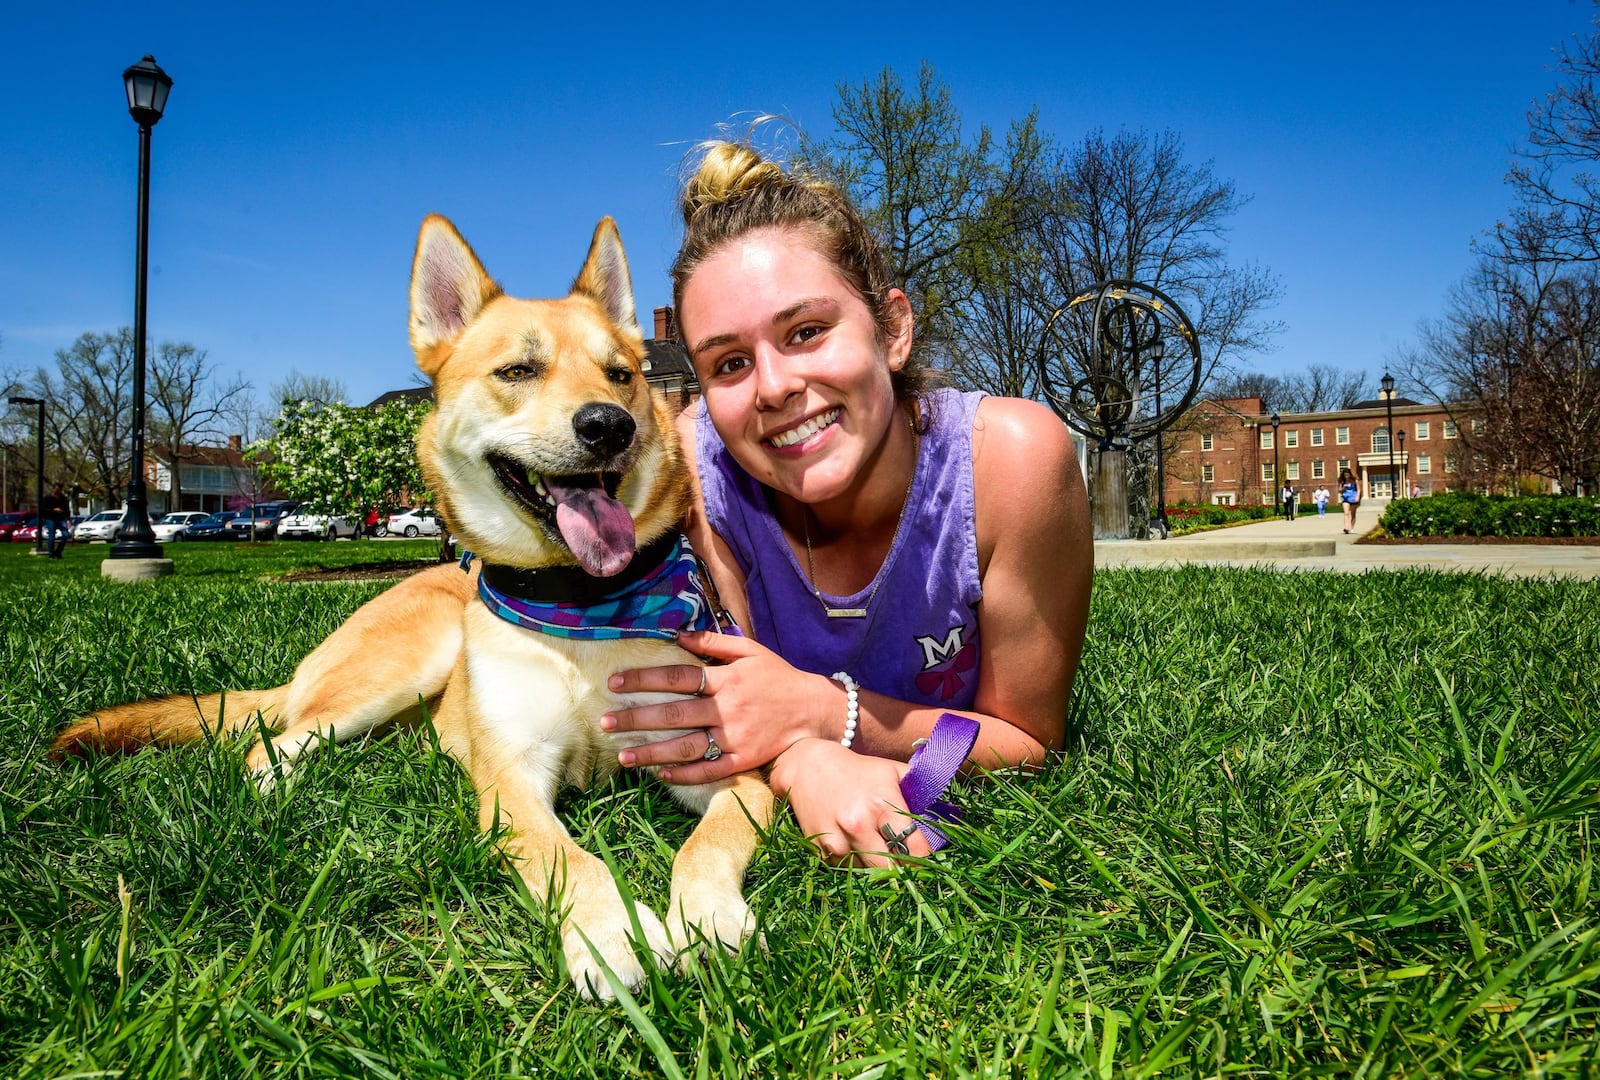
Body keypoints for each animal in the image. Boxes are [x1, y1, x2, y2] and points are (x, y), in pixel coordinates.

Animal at [60, 212, 780, 1004]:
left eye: (622, 375)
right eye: (518, 372)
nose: (609, 424)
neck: (580, 611)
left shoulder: (721, 765)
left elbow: (709, 841)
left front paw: (710, 915)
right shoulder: (511, 782)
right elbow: (568, 857)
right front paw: (609, 931)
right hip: (405, 664)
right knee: (274, 741)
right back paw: (278, 790)